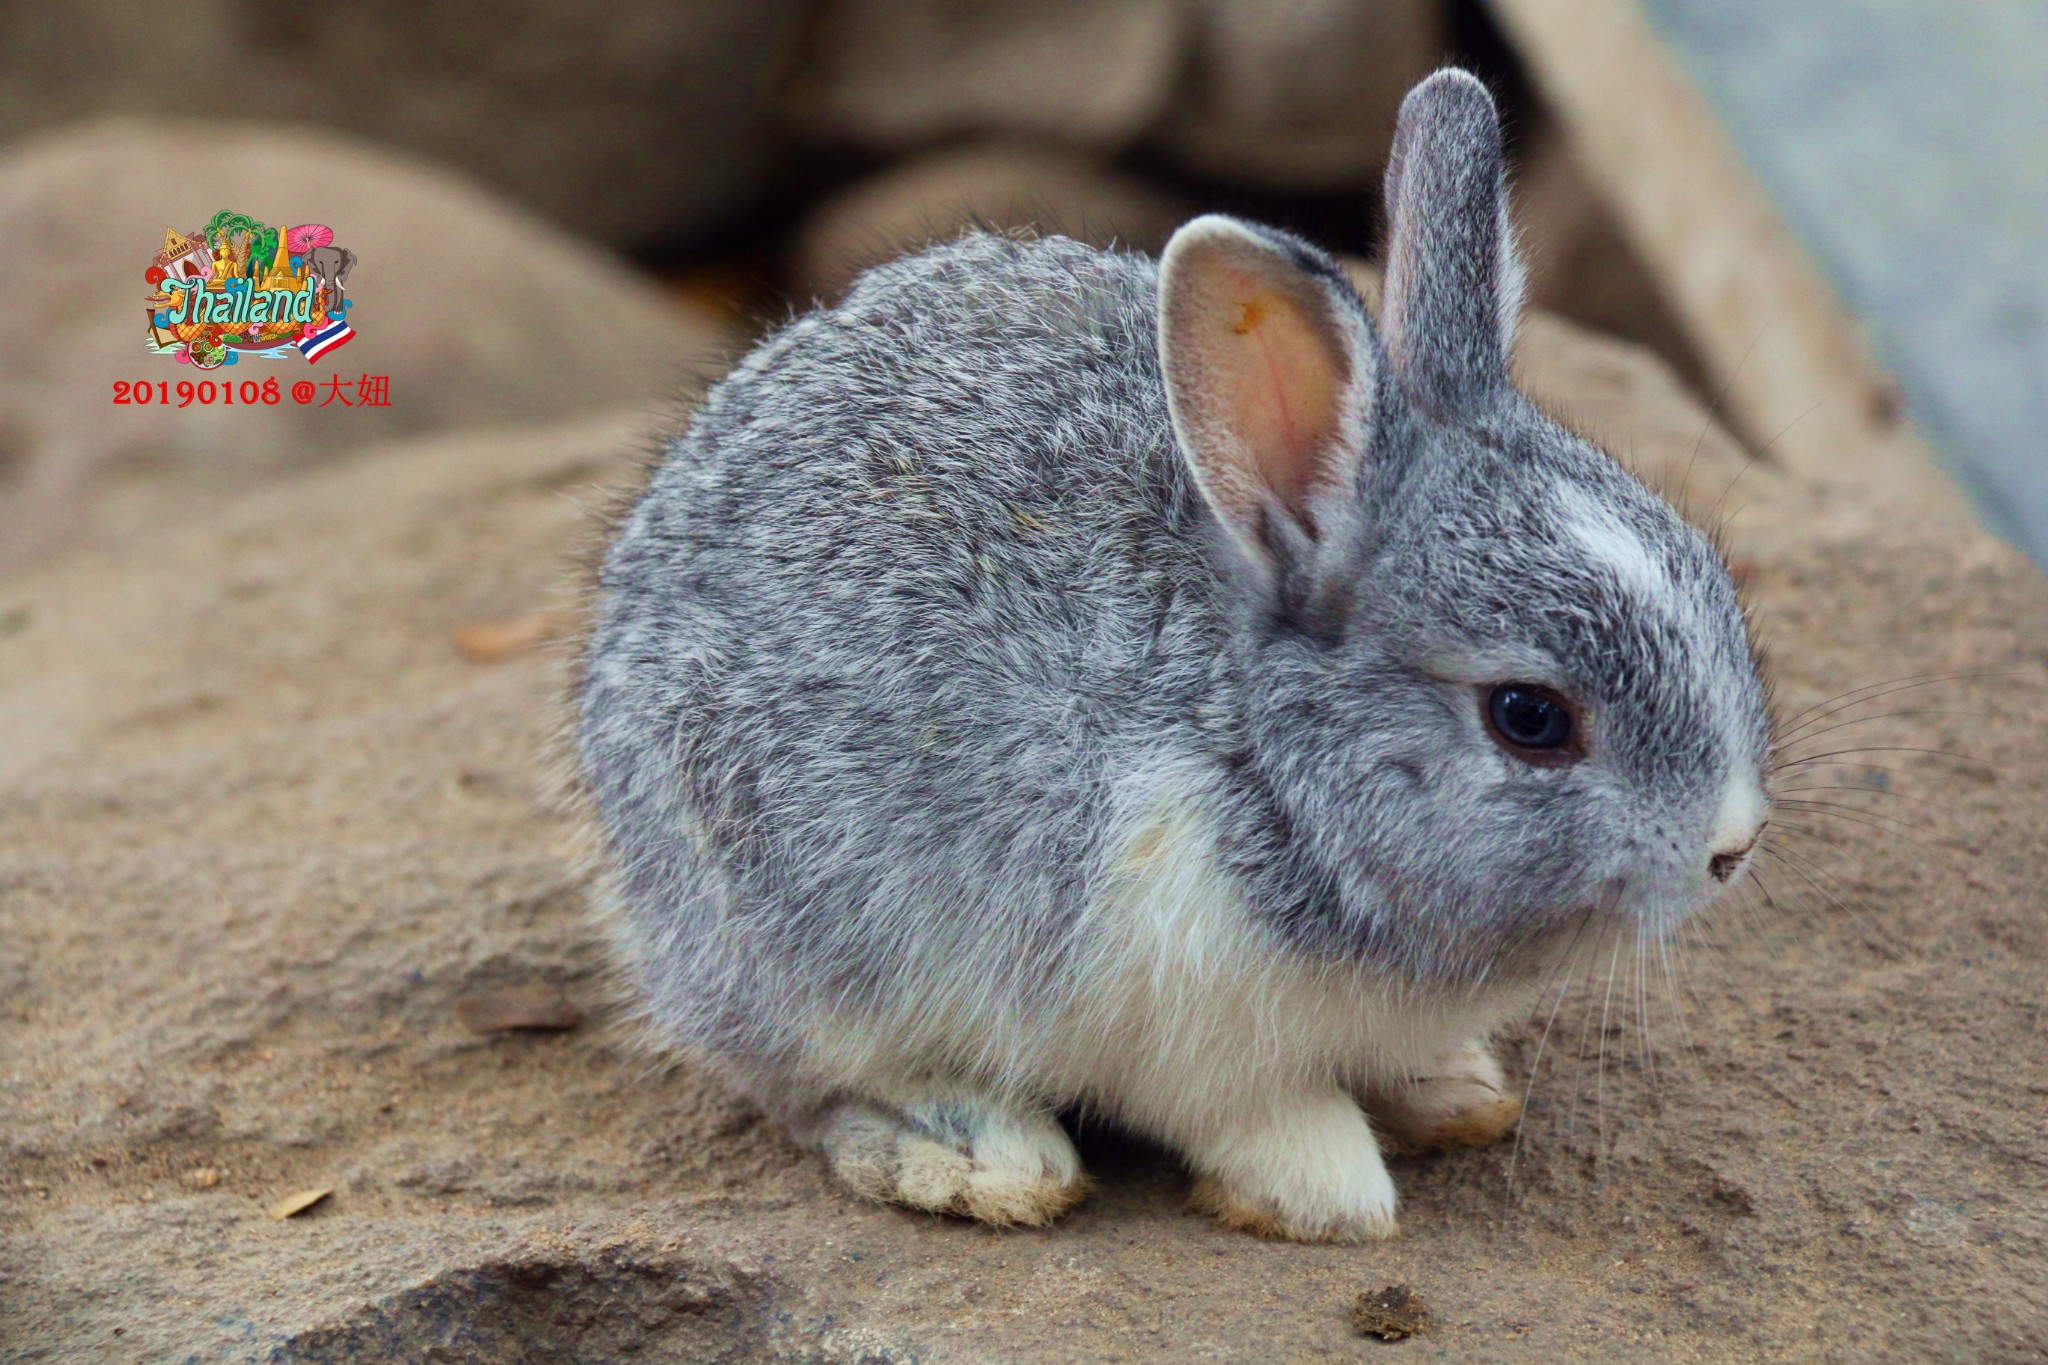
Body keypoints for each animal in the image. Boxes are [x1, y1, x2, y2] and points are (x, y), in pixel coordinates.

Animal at [581, 69, 1777, 1244]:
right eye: (1528, 717)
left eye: (1713, 583)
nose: (1731, 848)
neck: (1266, 756)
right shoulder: (1171, 1010)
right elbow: (1253, 1117)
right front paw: (1330, 1194)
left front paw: (1452, 1089)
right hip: (798, 943)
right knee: (810, 1091)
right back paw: (988, 1162)